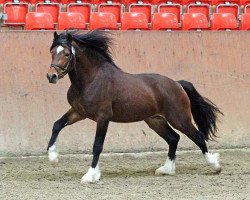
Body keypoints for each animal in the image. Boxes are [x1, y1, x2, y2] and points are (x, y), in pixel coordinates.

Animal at [46, 30, 223, 183]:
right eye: (52, 51)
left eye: (67, 54)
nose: (51, 76)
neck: (91, 80)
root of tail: (178, 84)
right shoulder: (79, 112)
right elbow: (57, 124)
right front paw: (53, 157)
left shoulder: (103, 117)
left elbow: (97, 145)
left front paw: (90, 176)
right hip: (155, 120)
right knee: (173, 138)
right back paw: (166, 169)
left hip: (179, 119)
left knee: (197, 136)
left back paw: (215, 166)